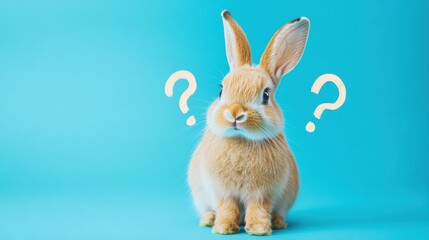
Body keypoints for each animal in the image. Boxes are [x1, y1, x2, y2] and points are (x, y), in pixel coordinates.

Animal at [187, 10, 308, 235]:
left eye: (266, 95)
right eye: (221, 91)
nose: (235, 113)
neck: (241, 140)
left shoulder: (262, 194)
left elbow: (258, 208)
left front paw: (259, 229)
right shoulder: (224, 192)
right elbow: (227, 208)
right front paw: (223, 228)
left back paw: (278, 222)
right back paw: (209, 219)